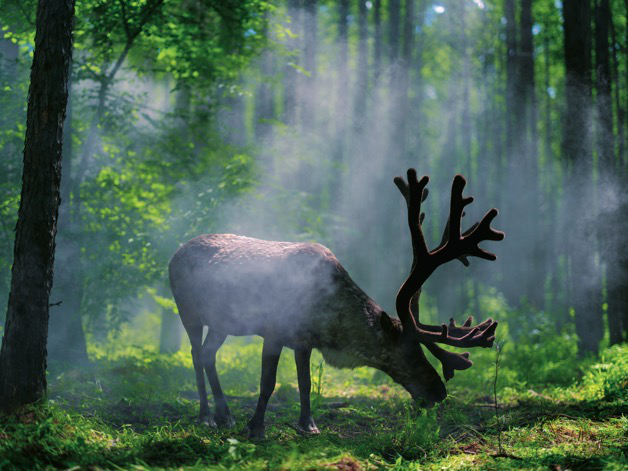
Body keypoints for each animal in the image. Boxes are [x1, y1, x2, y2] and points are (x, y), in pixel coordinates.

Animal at [169, 170, 502, 438]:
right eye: (408, 353)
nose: (439, 392)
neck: (327, 326)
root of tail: (174, 253)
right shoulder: (275, 329)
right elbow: (268, 383)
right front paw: (256, 428)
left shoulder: (303, 341)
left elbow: (304, 383)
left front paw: (308, 425)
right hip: (188, 311)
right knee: (196, 354)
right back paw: (206, 417)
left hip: (222, 323)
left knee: (209, 354)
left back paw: (225, 415)